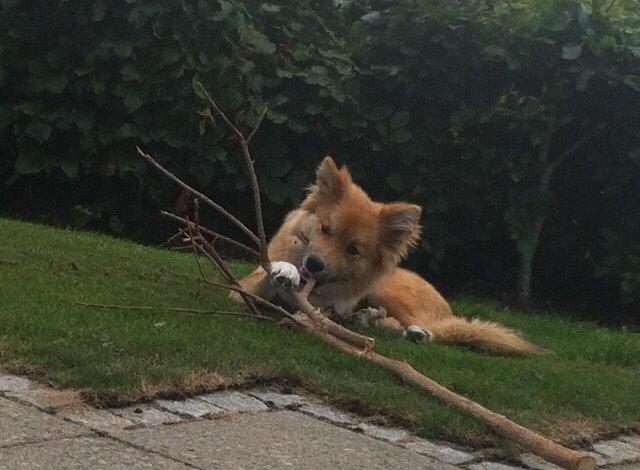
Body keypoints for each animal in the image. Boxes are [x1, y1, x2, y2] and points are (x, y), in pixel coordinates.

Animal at [232, 156, 548, 354]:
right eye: (325, 228)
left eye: (353, 249)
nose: (314, 263)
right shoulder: (241, 290)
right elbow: (263, 278)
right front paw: (285, 269)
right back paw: (367, 319)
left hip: (387, 292)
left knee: (428, 329)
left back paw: (413, 331)